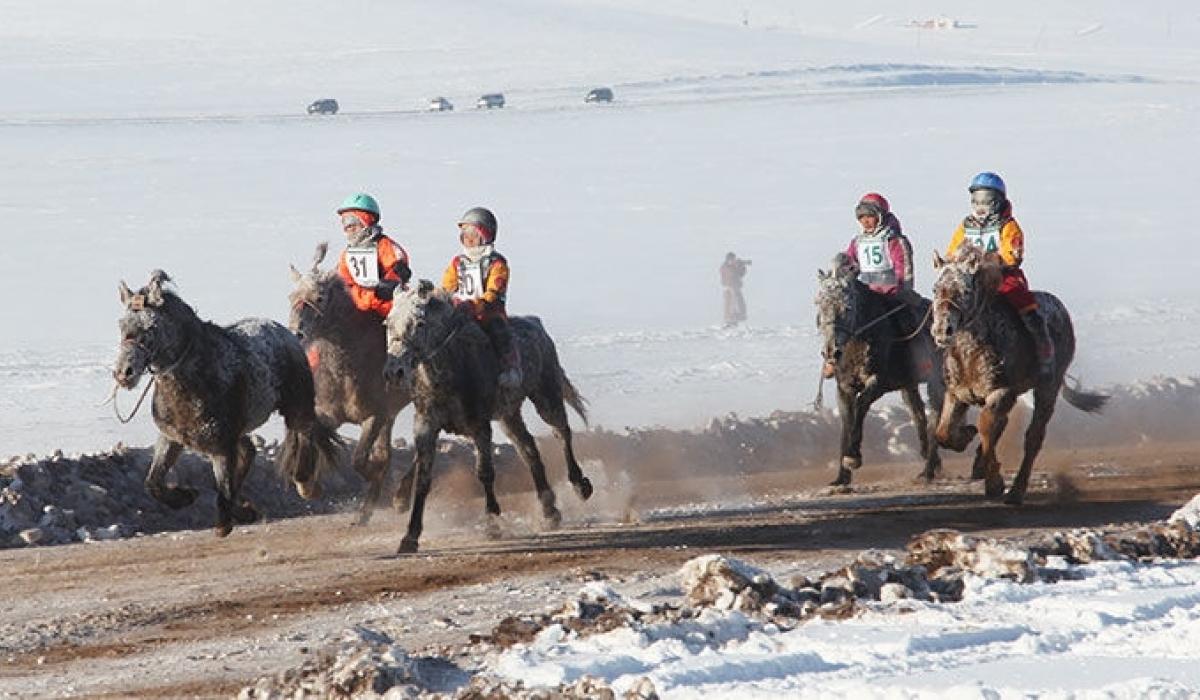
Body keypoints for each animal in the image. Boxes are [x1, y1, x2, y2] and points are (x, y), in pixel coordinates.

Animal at [112, 270, 340, 537]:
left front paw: (223, 523)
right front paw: (186, 496)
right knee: (249, 451)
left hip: (296, 407)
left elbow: (223, 490)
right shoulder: (171, 438)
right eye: (121, 325)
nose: (123, 373)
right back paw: (247, 510)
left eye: (150, 327)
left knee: (304, 436)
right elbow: (153, 483)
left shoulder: (221, 446)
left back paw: (305, 486)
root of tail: (289, 335)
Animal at [285, 246, 412, 525]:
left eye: (320, 297)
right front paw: (310, 487)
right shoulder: (326, 416)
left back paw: (400, 498)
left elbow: (361, 462)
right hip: (391, 415)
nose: (296, 333)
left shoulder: (374, 416)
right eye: (291, 297)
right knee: (386, 453)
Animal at [381, 282, 592, 557]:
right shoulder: (425, 426)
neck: (452, 367)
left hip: (547, 395)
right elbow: (423, 479)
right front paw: (410, 536)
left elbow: (485, 472)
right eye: (387, 323)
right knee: (529, 450)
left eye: (419, 323)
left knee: (562, 432)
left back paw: (580, 485)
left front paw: (492, 523)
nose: (394, 372)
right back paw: (549, 510)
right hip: (508, 415)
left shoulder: (480, 426)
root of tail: (537, 324)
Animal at [816, 252, 945, 487]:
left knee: (934, 420)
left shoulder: (879, 382)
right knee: (918, 415)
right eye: (820, 305)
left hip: (936, 382)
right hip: (908, 386)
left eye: (847, 307)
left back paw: (929, 469)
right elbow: (846, 423)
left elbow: (860, 406)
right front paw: (841, 477)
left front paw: (853, 457)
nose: (831, 351)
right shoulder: (844, 388)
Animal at [926, 246, 1113, 504]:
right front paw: (966, 438)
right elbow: (943, 433)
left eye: (965, 290)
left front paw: (995, 483)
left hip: (1047, 388)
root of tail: (1061, 309)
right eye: (936, 289)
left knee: (1033, 438)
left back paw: (1016, 491)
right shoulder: (957, 394)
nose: (942, 330)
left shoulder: (1001, 392)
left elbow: (986, 428)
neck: (972, 353)